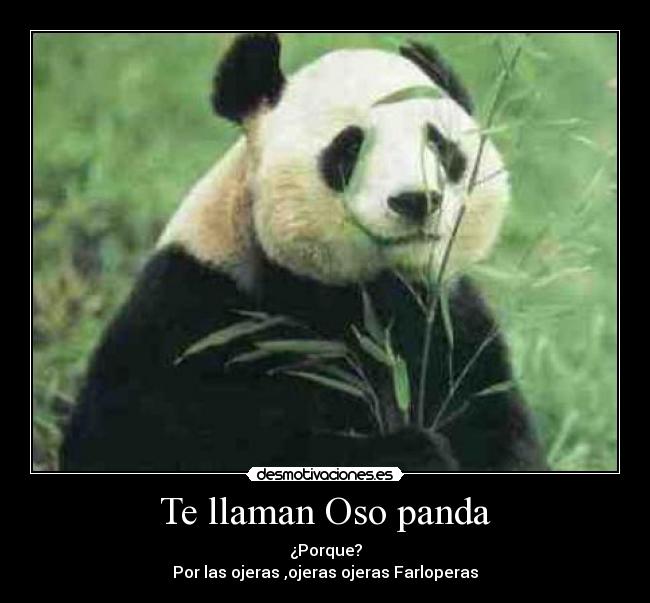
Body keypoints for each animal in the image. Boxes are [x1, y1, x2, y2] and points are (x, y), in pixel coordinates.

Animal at [61, 33, 546, 472]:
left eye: (439, 144)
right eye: (350, 146)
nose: (416, 199)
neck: (361, 292)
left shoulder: (449, 322)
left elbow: (497, 428)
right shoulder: (196, 312)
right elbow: (148, 441)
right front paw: (413, 452)